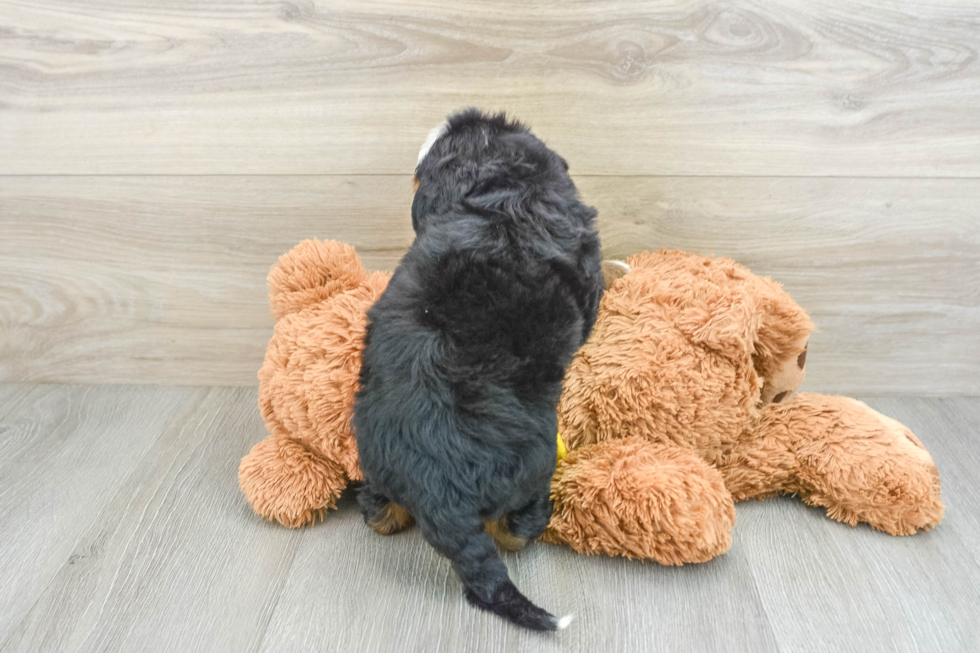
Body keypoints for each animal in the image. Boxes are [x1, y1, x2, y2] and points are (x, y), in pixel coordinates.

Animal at [352, 109, 604, 628]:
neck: (511, 191)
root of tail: (440, 495)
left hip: (374, 460)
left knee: (379, 513)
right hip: (532, 468)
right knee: (516, 531)